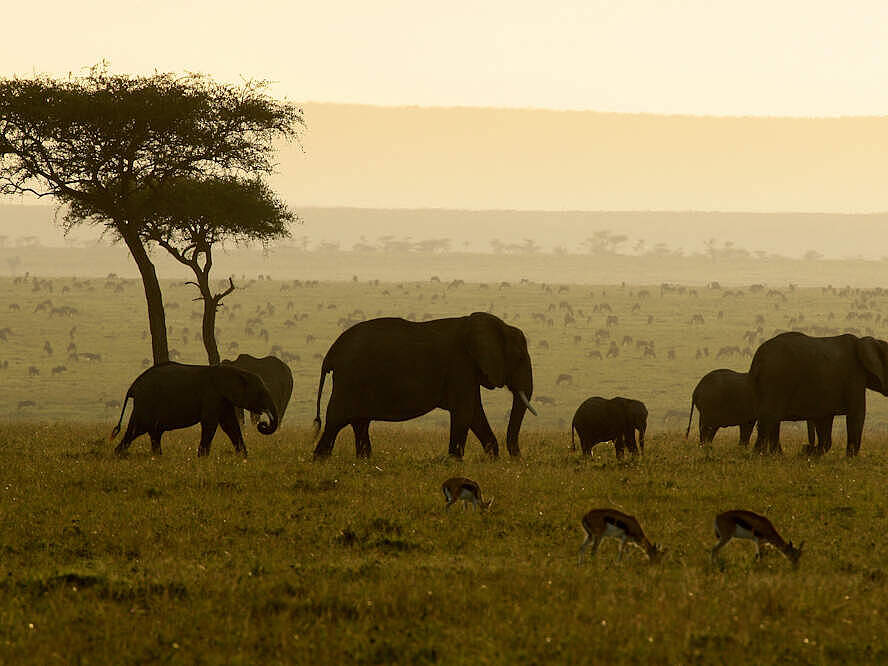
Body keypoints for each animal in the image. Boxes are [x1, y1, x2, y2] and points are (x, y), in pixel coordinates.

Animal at [110, 358, 278, 456]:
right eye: (260, 393)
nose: (263, 424)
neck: (235, 371)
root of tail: (133, 387)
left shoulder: (222, 399)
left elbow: (230, 425)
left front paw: (243, 458)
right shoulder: (212, 395)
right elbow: (210, 424)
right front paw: (202, 458)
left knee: (149, 432)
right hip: (146, 403)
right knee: (138, 430)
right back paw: (120, 455)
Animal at [310, 312, 536, 456]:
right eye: (519, 358)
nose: (517, 458)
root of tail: (330, 354)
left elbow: (474, 413)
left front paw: (492, 459)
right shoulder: (460, 365)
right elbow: (465, 412)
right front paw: (454, 462)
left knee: (360, 423)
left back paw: (364, 462)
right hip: (349, 379)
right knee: (336, 422)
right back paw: (320, 461)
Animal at [748, 334, 888, 454]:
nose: (805, 447)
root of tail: (758, 357)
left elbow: (824, 420)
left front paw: (811, 454)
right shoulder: (854, 376)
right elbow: (856, 414)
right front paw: (849, 460)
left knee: (771, 420)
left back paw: (775, 456)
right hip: (777, 379)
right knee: (769, 418)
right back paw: (759, 456)